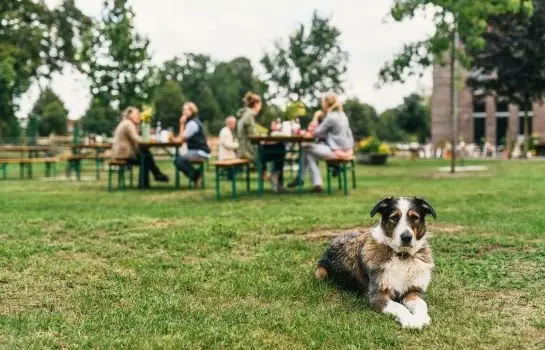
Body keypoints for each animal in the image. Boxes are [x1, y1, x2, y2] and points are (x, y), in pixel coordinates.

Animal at [312, 197, 436, 328]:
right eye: (394, 217)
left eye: (415, 217)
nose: (406, 237)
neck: (402, 257)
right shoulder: (377, 296)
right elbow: (399, 306)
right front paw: (410, 320)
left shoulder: (412, 291)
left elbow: (422, 304)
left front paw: (421, 318)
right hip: (321, 273)